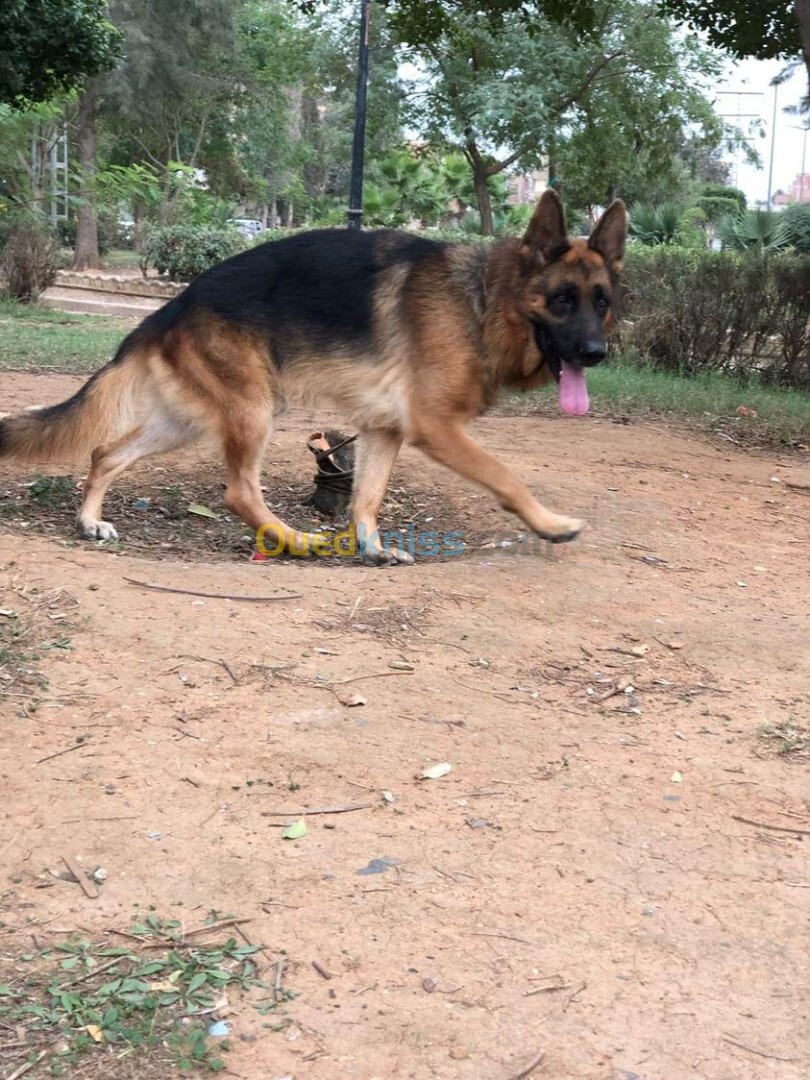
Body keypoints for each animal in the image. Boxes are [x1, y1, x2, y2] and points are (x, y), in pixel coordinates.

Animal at [0, 191, 626, 565]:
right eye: (562, 299)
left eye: (603, 301)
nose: (596, 354)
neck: (482, 300)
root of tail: (172, 305)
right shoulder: (436, 428)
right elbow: (507, 477)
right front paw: (550, 525)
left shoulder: (385, 431)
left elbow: (367, 497)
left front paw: (372, 549)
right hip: (253, 412)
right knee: (238, 491)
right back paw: (295, 540)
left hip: (185, 424)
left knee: (105, 452)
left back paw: (89, 521)